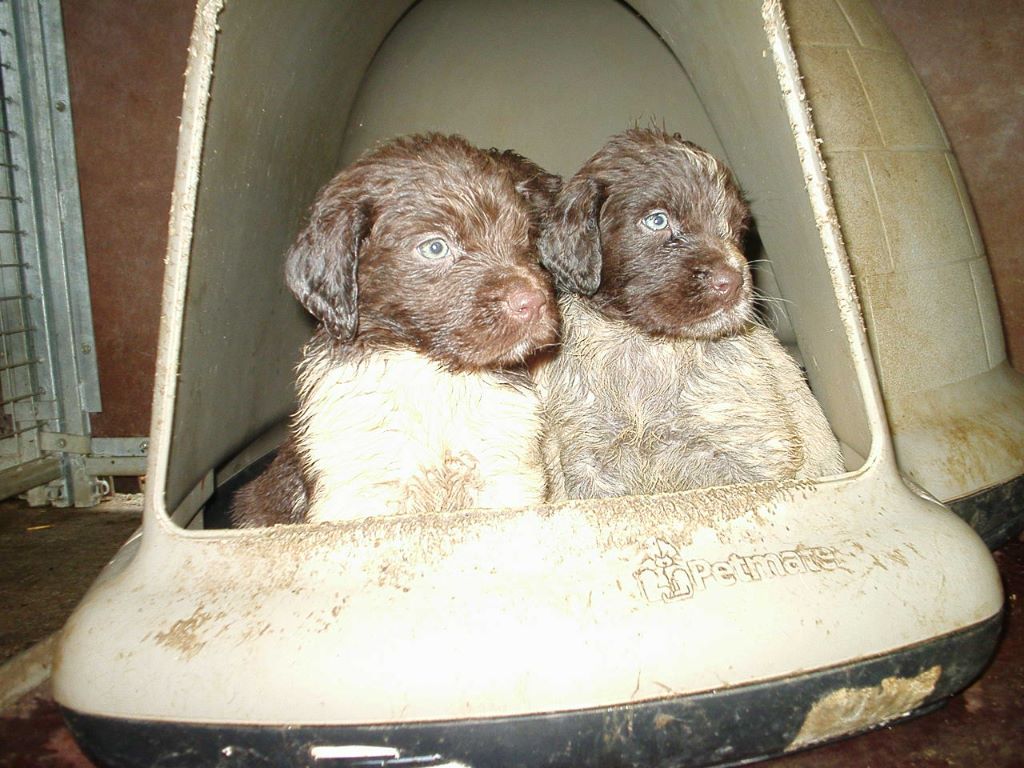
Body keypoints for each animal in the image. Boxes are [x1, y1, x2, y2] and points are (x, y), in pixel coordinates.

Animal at [230, 134, 561, 528]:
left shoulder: (504, 474)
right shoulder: (359, 489)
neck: (432, 373)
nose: (534, 303)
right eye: (435, 247)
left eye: (526, 237)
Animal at [532, 129, 843, 501]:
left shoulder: (747, 456)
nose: (733, 281)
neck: (647, 346)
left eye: (736, 228)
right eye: (657, 220)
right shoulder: (591, 465)